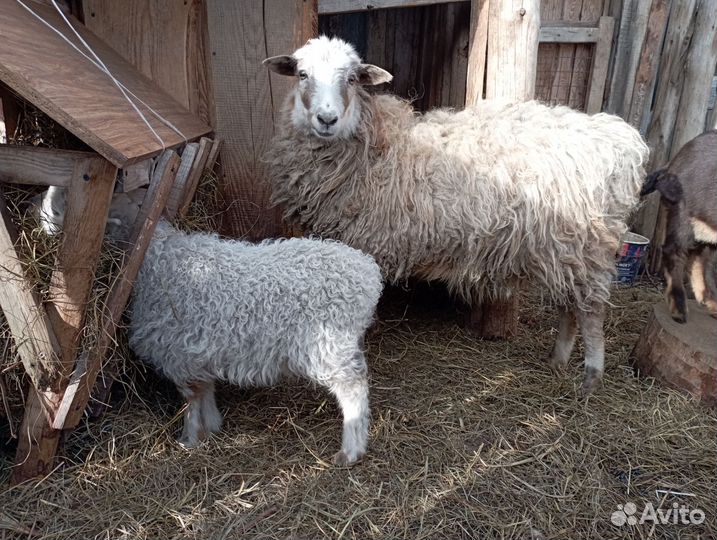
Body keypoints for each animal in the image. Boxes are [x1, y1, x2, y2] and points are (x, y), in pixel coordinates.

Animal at [263, 36, 649, 396]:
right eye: (302, 74)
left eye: (353, 78)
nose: (326, 119)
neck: (375, 148)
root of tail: (620, 141)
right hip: (566, 249)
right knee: (571, 306)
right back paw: (558, 360)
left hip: (585, 245)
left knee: (592, 310)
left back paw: (591, 377)